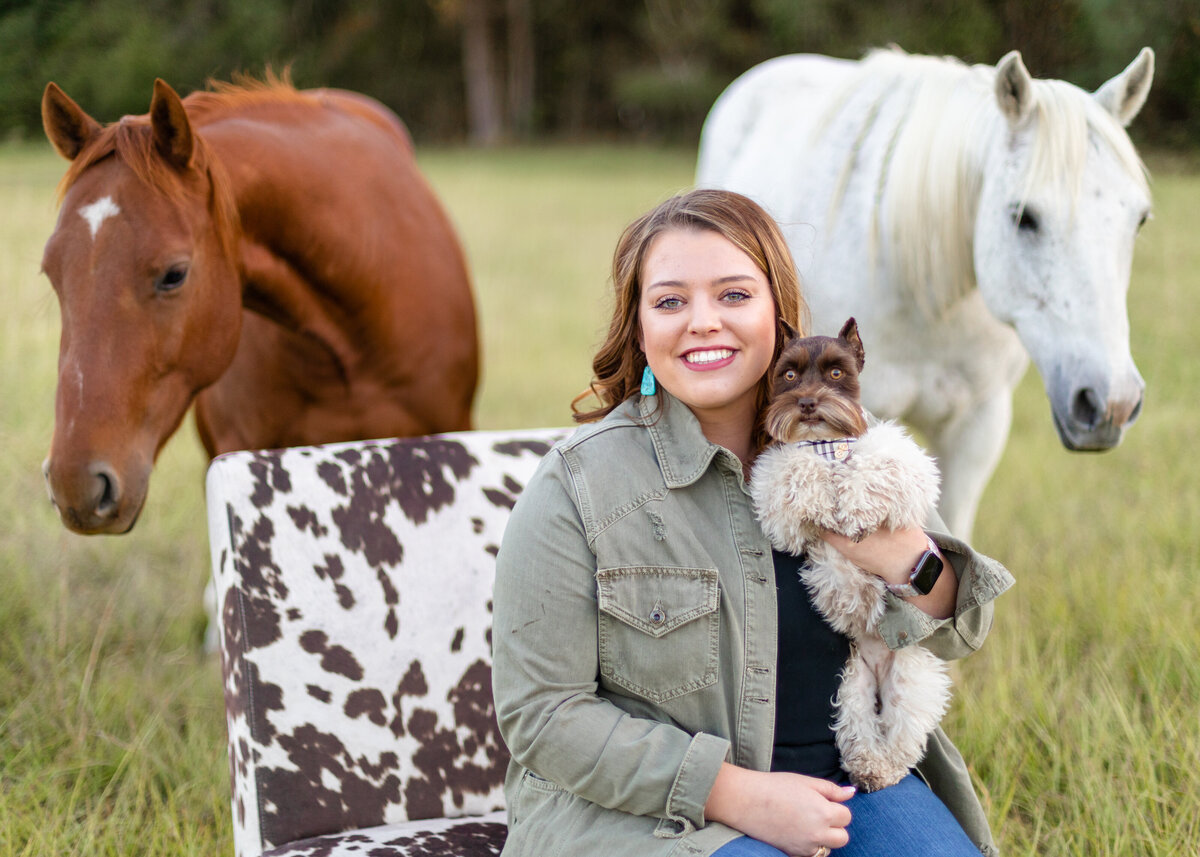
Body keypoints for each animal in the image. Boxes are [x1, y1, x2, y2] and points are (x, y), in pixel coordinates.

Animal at [748, 314, 955, 787]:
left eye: (836, 373)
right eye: (789, 375)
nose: (808, 403)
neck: (826, 444)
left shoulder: (909, 472)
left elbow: (877, 466)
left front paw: (854, 506)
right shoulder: (775, 497)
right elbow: (795, 470)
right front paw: (824, 498)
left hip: (911, 679)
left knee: (902, 736)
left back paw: (884, 769)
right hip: (849, 688)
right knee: (859, 731)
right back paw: (867, 766)